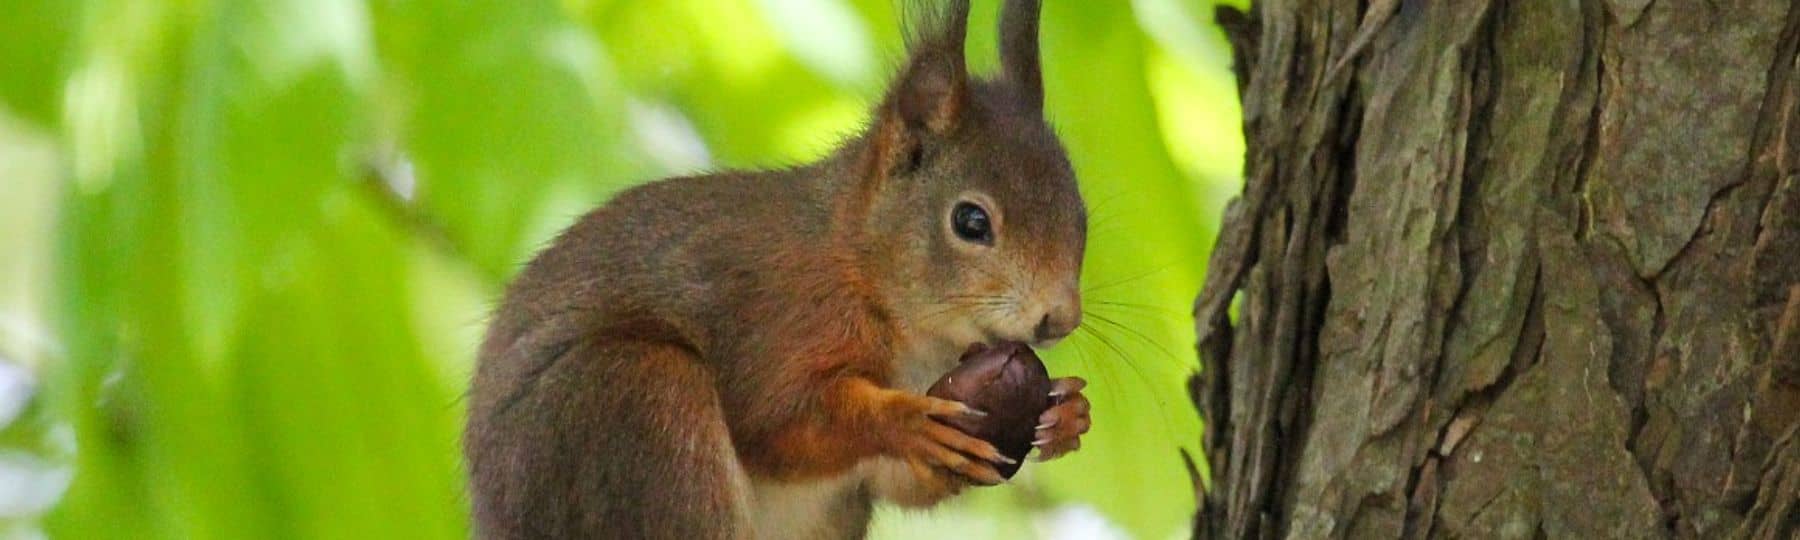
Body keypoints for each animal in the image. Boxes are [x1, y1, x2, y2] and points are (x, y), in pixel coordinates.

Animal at [464, 1, 1087, 536]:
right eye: (971, 221)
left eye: (1083, 216)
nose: (1061, 319)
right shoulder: (776, 319)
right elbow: (778, 419)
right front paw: (904, 420)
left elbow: (901, 480)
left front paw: (1069, 414)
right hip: (637, 399)